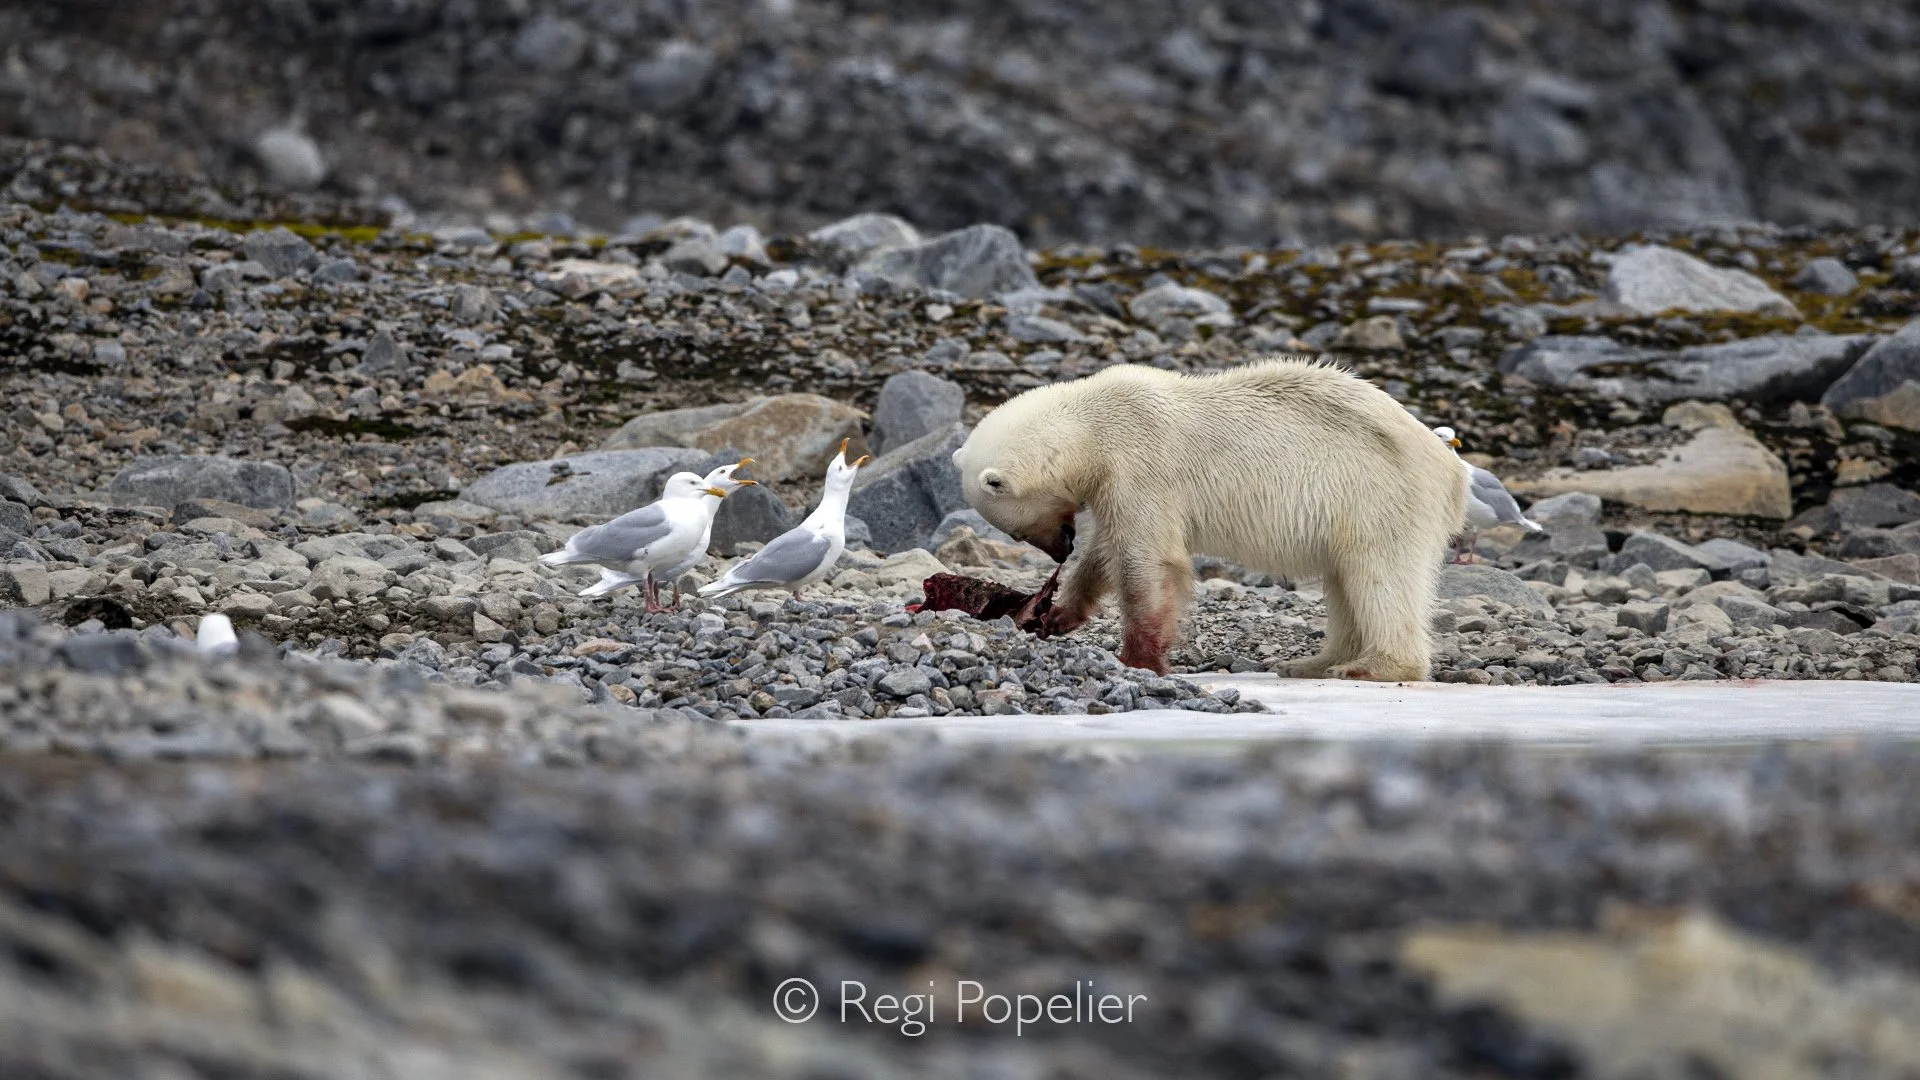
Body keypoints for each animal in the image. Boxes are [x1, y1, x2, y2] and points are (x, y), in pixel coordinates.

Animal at [951, 358, 1467, 680]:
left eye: (1015, 530)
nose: (1061, 548)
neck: (1093, 425)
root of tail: (1451, 469)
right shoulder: (1113, 483)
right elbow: (1107, 549)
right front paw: (1057, 614)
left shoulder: (1141, 466)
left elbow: (1148, 560)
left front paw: (1139, 659)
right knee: (1345, 582)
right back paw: (1312, 663)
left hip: (1376, 496)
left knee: (1379, 575)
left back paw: (1371, 666)